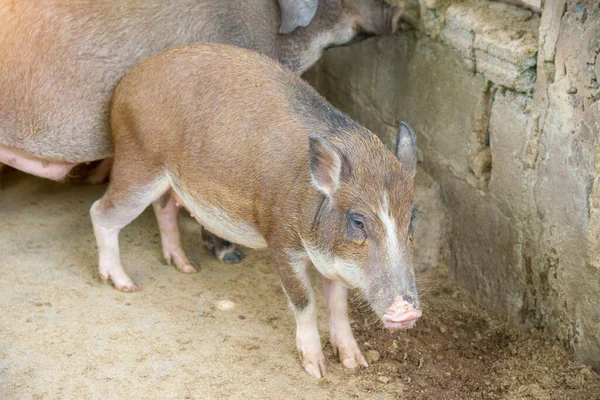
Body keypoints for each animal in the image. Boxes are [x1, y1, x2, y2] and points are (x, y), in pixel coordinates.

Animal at [90, 43, 422, 378]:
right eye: (357, 221)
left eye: (411, 221)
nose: (407, 311)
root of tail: (129, 81)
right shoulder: (281, 241)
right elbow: (304, 300)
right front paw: (316, 371)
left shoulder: (336, 261)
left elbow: (339, 304)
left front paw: (355, 363)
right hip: (138, 164)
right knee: (100, 212)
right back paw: (124, 285)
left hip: (167, 180)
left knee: (164, 208)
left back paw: (186, 267)